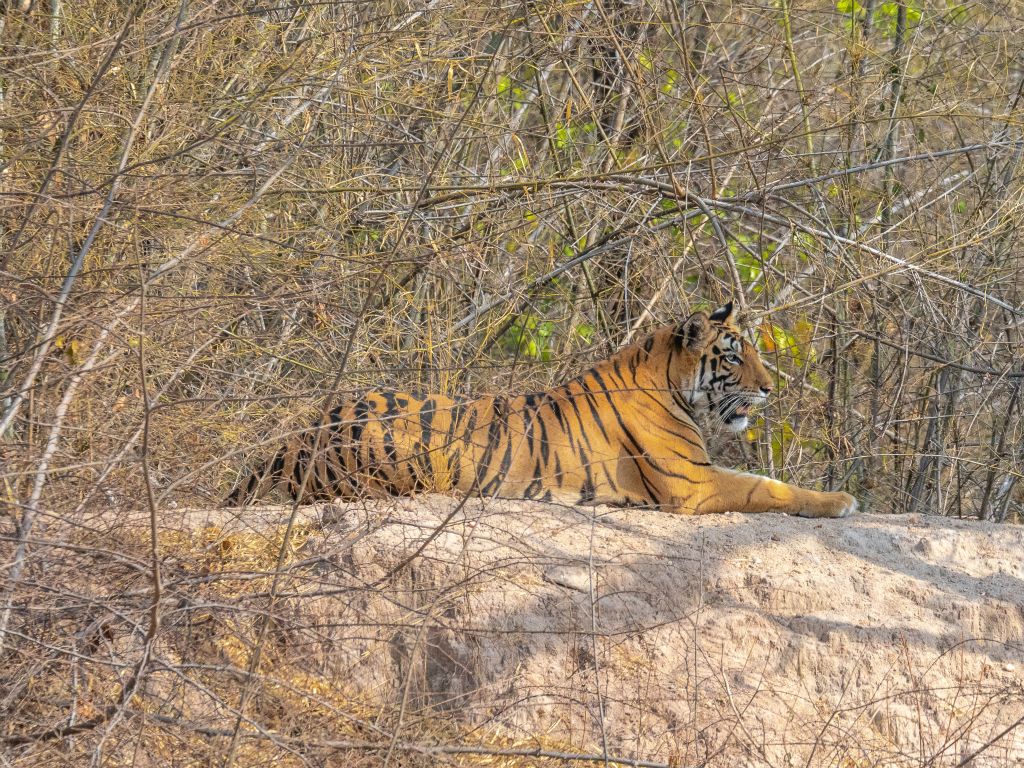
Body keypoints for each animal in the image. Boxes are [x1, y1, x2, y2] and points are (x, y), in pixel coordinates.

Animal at [224, 303, 856, 520]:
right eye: (734, 355)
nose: (770, 389)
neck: (671, 380)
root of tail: (297, 437)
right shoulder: (692, 484)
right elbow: (767, 486)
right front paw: (842, 501)